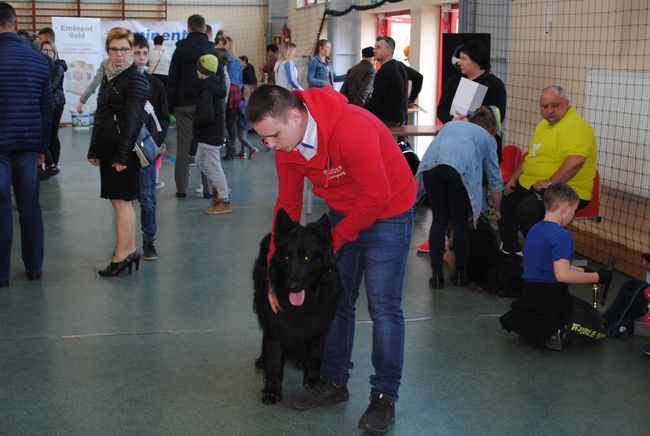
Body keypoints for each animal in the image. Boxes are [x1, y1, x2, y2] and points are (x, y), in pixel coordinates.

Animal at [252, 209, 342, 404]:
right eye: (287, 257)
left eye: (307, 258)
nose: (292, 286)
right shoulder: (275, 327)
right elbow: (274, 362)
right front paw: (272, 390)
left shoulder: (318, 326)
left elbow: (315, 356)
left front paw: (313, 381)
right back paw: (262, 359)